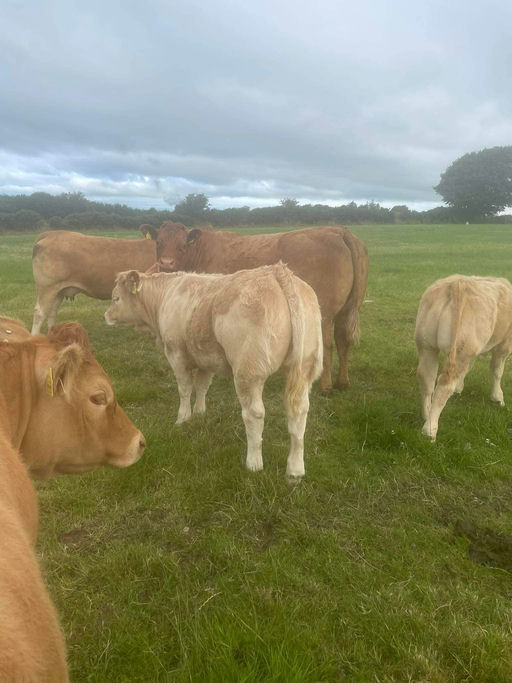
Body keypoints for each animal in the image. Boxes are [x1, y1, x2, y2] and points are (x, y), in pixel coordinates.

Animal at [105, 264, 323, 477]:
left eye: (116, 298)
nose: (106, 315)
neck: (166, 295)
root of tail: (277, 271)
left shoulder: (176, 353)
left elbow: (185, 389)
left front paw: (183, 418)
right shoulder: (206, 358)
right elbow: (202, 386)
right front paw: (200, 414)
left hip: (248, 372)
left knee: (254, 414)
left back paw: (253, 463)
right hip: (305, 368)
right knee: (299, 412)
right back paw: (295, 470)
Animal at [140, 222, 368, 392]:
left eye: (183, 245)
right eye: (159, 242)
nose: (166, 263)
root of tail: (338, 230)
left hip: (324, 313)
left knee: (328, 345)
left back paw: (325, 385)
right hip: (348, 310)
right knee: (343, 341)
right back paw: (342, 382)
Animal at [416, 275, 512, 440]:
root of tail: (456, 283)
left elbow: (468, 368)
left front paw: (459, 387)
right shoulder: (504, 344)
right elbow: (497, 371)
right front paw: (497, 397)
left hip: (427, 345)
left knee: (427, 378)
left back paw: (426, 415)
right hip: (460, 349)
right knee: (444, 385)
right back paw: (430, 430)